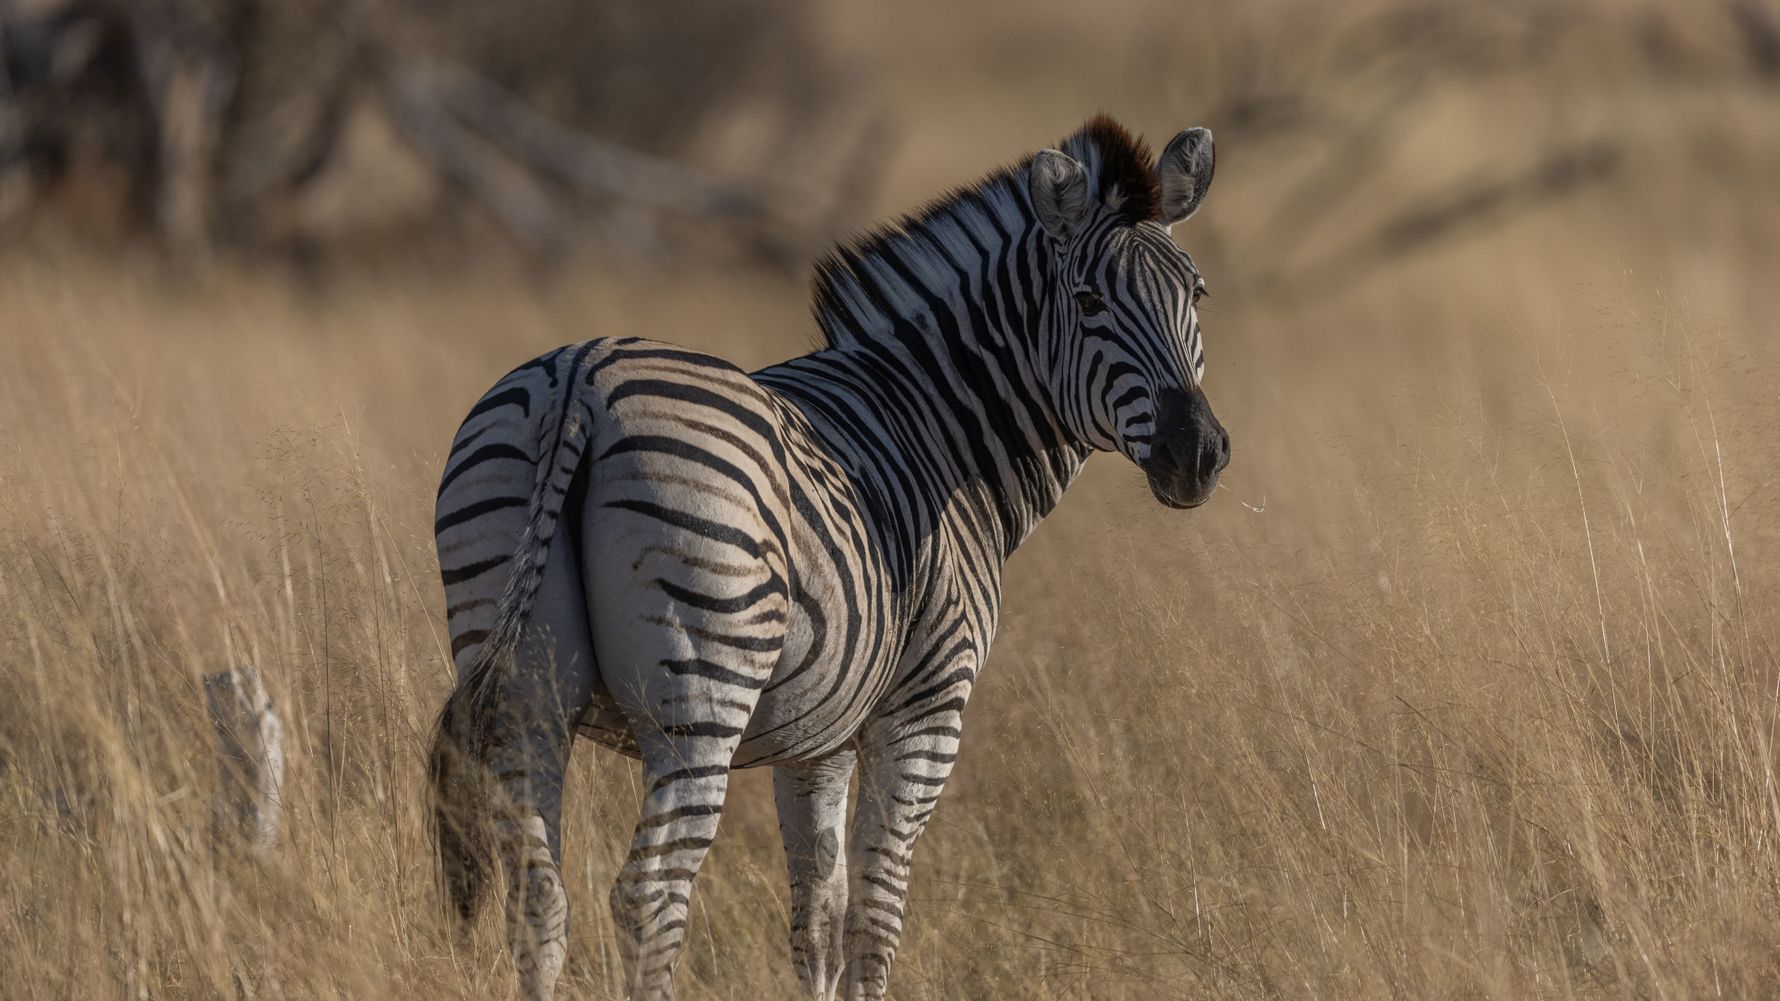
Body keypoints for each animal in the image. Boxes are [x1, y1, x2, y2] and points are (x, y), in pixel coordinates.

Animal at [429, 114, 1228, 1001]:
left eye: (1196, 294)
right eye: (1088, 302)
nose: (1198, 454)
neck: (943, 431)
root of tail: (580, 381)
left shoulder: (818, 735)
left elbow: (817, 910)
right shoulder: (923, 711)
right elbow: (875, 914)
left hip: (525, 680)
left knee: (538, 894)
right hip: (700, 690)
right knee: (650, 895)